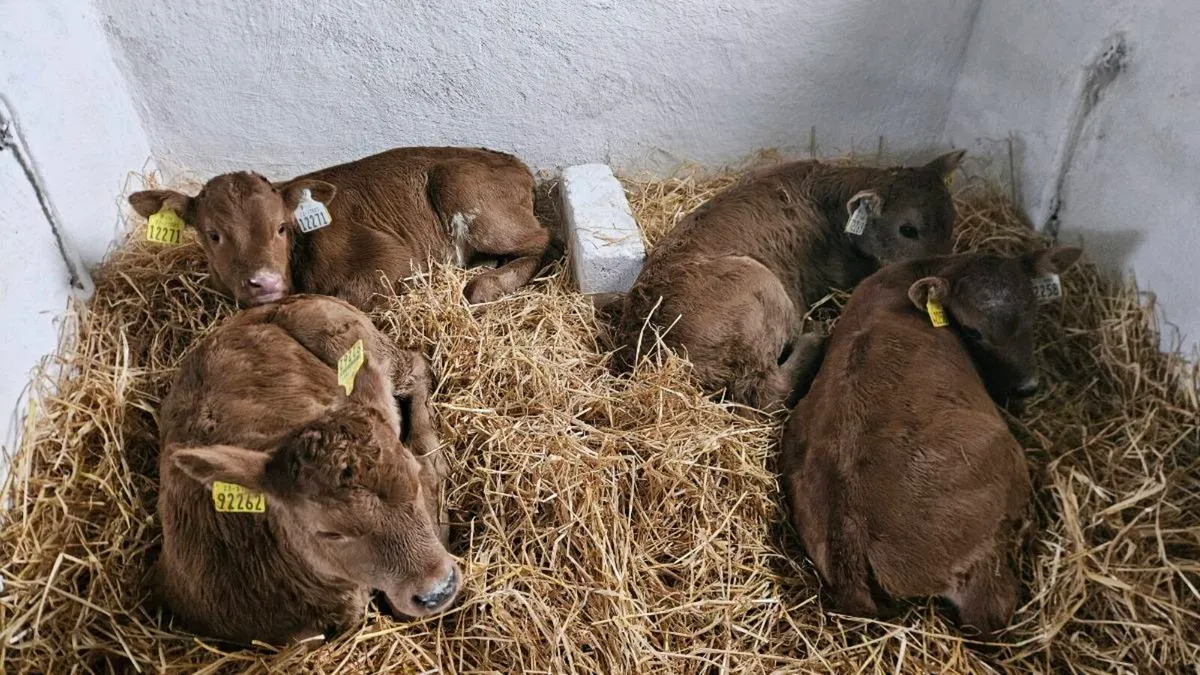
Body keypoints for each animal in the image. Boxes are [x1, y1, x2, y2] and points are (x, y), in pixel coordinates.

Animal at [129, 147, 550, 309]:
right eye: (213, 234)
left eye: (281, 228)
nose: (265, 282)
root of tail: (518, 164)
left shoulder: (390, 257)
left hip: (464, 191)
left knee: (543, 241)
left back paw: (484, 282)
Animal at [612, 151, 965, 412]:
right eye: (908, 229)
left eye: (951, 222)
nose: (939, 267)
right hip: (761, 292)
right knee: (768, 392)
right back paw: (814, 336)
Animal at [780, 246, 1082, 640]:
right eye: (973, 330)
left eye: (1032, 314)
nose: (1026, 386)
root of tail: (847, 533)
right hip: (998, 484)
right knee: (990, 613)